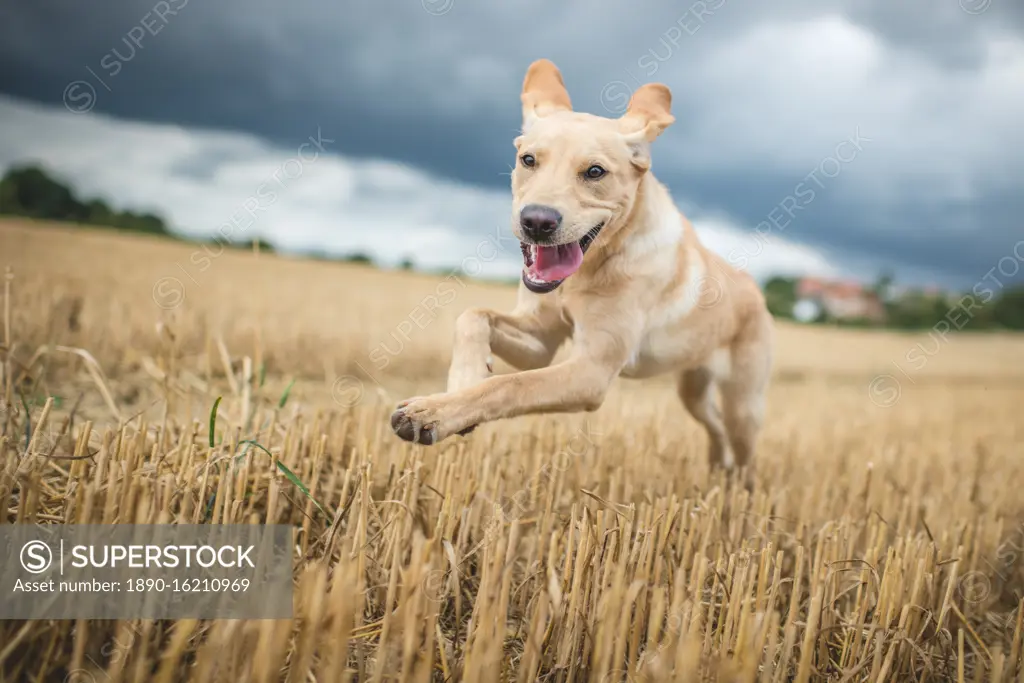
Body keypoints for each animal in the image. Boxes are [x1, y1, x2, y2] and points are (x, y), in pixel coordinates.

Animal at [387, 58, 770, 475]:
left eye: (595, 172)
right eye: (528, 160)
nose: (537, 222)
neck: (588, 269)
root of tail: (755, 291)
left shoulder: (591, 370)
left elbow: (509, 385)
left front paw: (434, 412)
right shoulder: (539, 343)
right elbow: (473, 316)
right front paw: (461, 383)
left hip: (743, 406)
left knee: (745, 450)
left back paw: (739, 486)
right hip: (694, 389)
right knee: (714, 426)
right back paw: (717, 468)